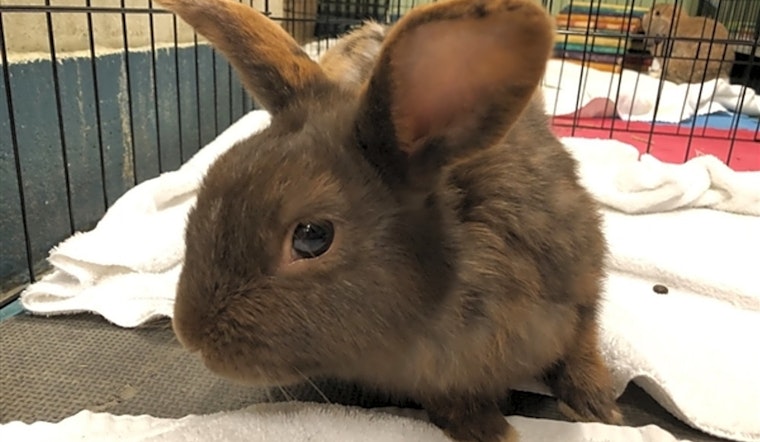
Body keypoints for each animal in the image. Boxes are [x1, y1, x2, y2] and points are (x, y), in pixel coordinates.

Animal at [156, 0, 624, 441]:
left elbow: (583, 342)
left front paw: (597, 404)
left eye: (311, 237)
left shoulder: (580, 282)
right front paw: (486, 427)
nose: (190, 334)